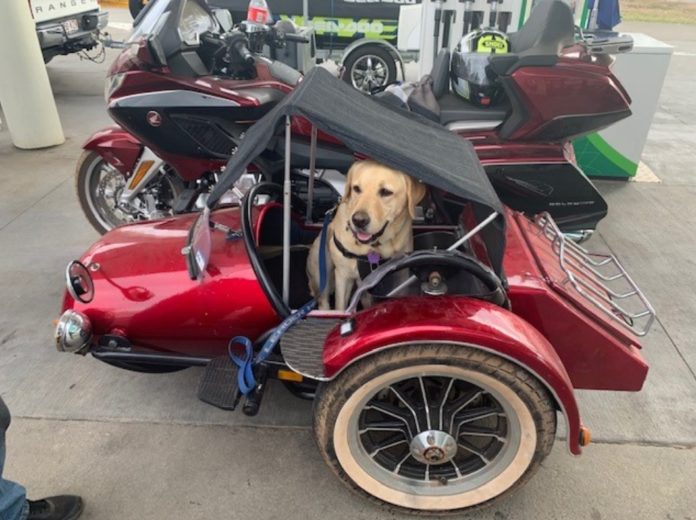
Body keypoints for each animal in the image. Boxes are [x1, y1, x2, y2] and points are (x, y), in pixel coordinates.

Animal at [308, 160, 426, 310]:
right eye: (356, 188)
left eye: (386, 192)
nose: (358, 220)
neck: (373, 248)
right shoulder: (343, 275)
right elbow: (341, 306)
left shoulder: (402, 275)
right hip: (321, 266)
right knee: (324, 300)